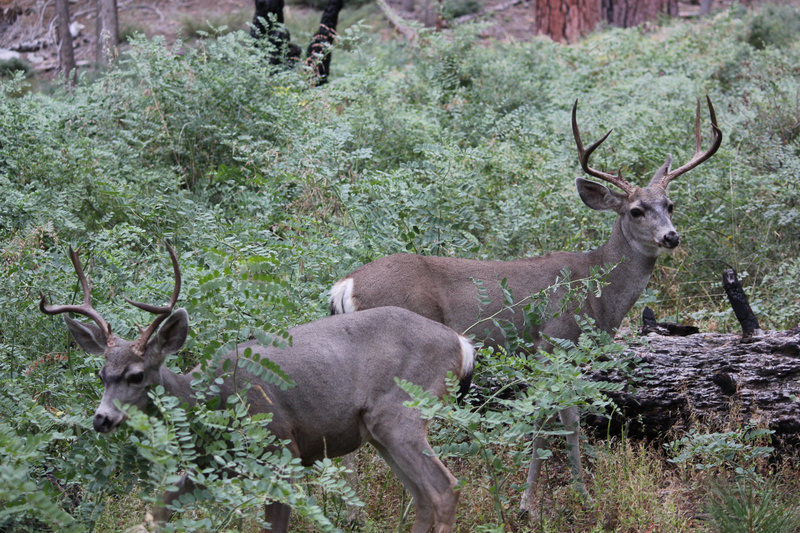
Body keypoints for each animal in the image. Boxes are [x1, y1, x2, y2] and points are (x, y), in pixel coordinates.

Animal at [39, 245, 476, 532]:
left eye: (136, 375)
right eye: (102, 374)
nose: (101, 419)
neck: (206, 398)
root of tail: (461, 344)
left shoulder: (279, 446)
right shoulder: (208, 465)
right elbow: (156, 511)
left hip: (400, 412)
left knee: (443, 490)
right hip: (379, 431)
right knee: (422, 496)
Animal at [328, 96, 720, 512]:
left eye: (670, 204)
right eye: (635, 211)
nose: (671, 237)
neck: (598, 292)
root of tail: (346, 284)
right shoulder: (554, 342)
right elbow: (559, 420)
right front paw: (551, 500)